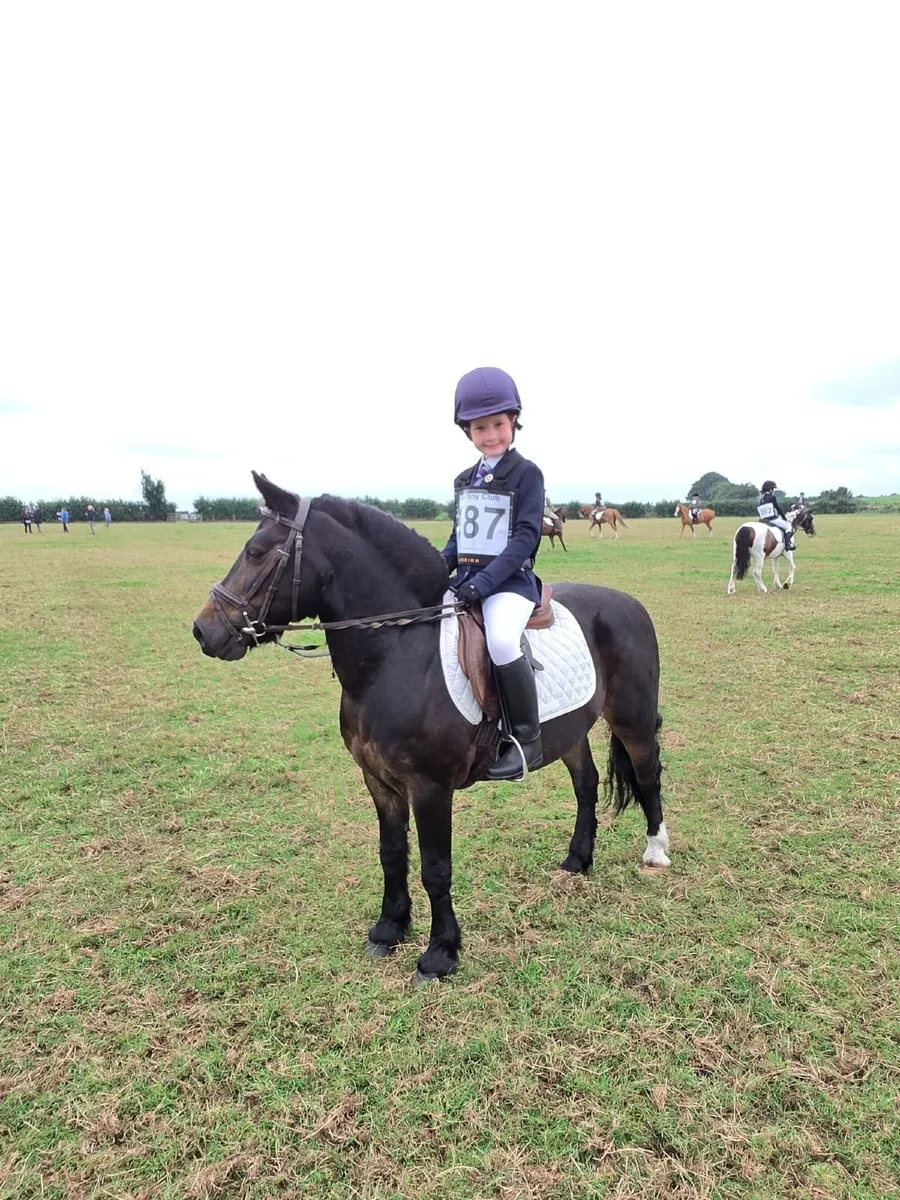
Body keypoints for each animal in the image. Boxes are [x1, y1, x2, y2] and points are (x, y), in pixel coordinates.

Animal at [193, 473, 671, 983]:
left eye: (257, 551)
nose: (203, 631)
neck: (395, 653)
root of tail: (630, 603)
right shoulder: (379, 781)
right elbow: (391, 854)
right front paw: (388, 929)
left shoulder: (429, 786)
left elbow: (435, 867)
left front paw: (440, 954)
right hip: (571, 730)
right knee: (587, 784)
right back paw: (578, 860)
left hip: (633, 720)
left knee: (648, 775)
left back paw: (656, 852)